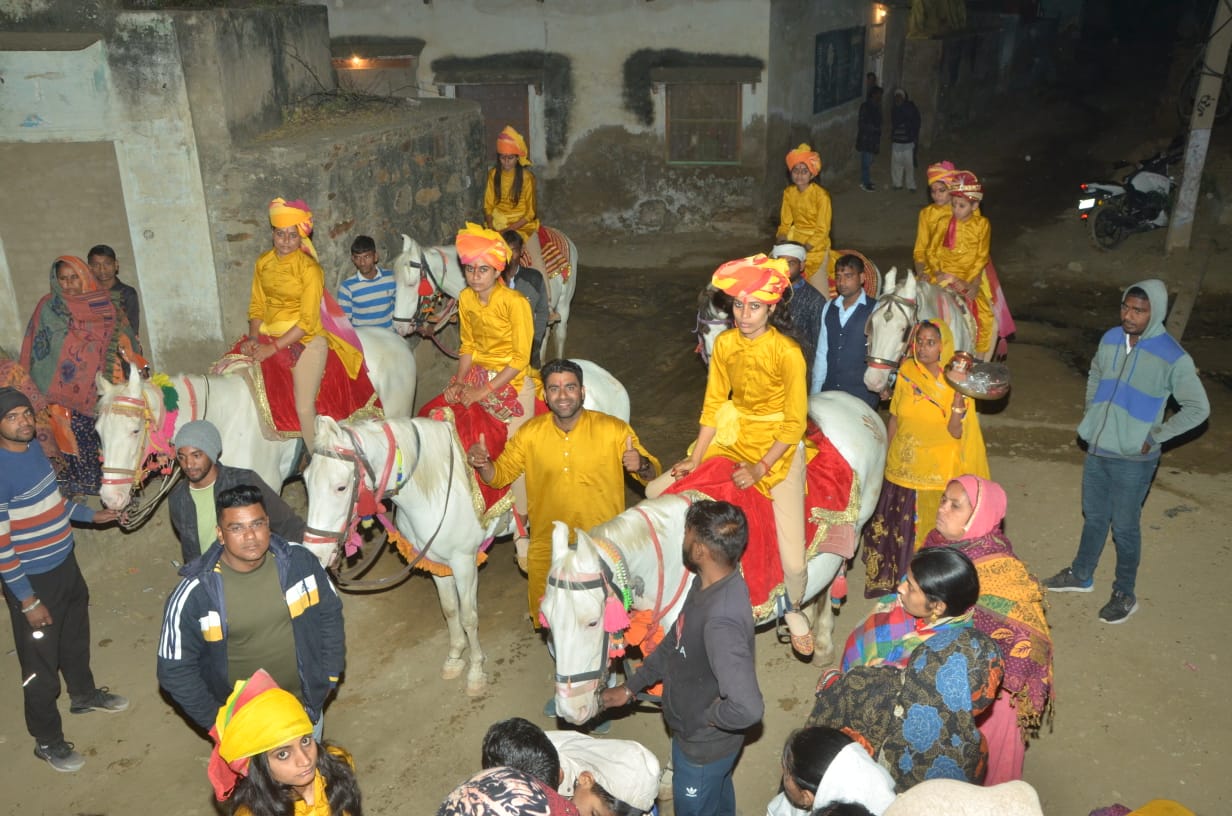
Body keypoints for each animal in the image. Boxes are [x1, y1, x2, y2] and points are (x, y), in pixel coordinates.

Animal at [303, 362, 630, 700]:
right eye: (305, 481)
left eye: (341, 486)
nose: (315, 550)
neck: (429, 486)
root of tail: (600, 373)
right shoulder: (436, 561)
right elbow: (450, 611)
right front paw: (454, 657)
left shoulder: (463, 563)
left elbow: (470, 616)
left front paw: (475, 672)